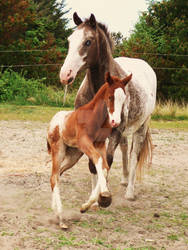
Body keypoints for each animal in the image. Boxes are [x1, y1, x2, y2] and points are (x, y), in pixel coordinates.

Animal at [59, 13, 156, 201]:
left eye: (88, 41)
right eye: (69, 40)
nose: (65, 74)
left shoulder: (116, 130)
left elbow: (108, 160)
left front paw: (103, 195)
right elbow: (93, 163)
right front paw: (94, 195)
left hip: (142, 126)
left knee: (134, 155)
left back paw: (130, 191)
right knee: (125, 148)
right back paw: (124, 180)